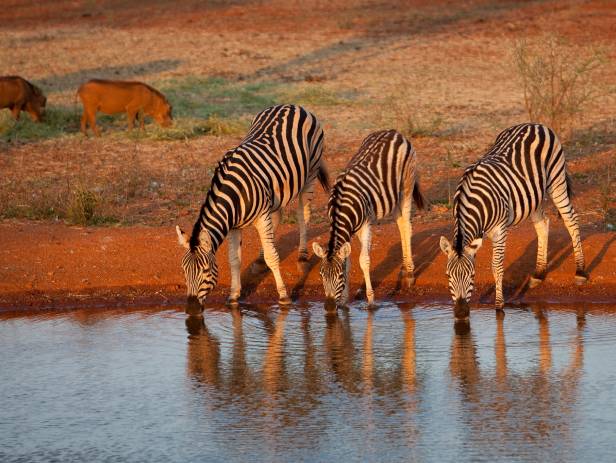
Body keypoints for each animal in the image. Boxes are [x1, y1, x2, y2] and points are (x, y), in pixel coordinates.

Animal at [176, 105, 330, 308]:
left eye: (206, 271)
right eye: (184, 271)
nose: (192, 309)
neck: (234, 194)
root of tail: (292, 105)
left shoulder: (261, 216)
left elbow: (273, 256)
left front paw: (283, 296)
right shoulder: (233, 225)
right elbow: (234, 260)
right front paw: (234, 295)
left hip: (310, 173)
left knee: (302, 214)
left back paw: (302, 257)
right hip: (277, 189)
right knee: (278, 216)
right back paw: (259, 259)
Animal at [312, 130, 424, 308]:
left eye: (338, 276)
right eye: (321, 275)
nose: (329, 307)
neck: (340, 208)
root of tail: (393, 132)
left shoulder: (365, 224)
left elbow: (363, 260)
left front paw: (371, 300)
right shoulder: (349, 230)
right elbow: (348, 262)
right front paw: (344, 301)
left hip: (407, 183)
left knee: (406, 225)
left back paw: (410, 275)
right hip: (393, 194)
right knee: (400, 222)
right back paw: (404, 270)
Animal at [440, 122, 588, 320]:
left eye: (472, 275)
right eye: (448, 276)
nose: (461, 313)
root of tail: (535, 124)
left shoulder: (500, 230)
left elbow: (496, 266)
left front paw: (499, 305)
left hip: (556, 181)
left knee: (571, 219)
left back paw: (580, 272)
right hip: (534, 195)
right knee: (542, 224)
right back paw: (539, 274)